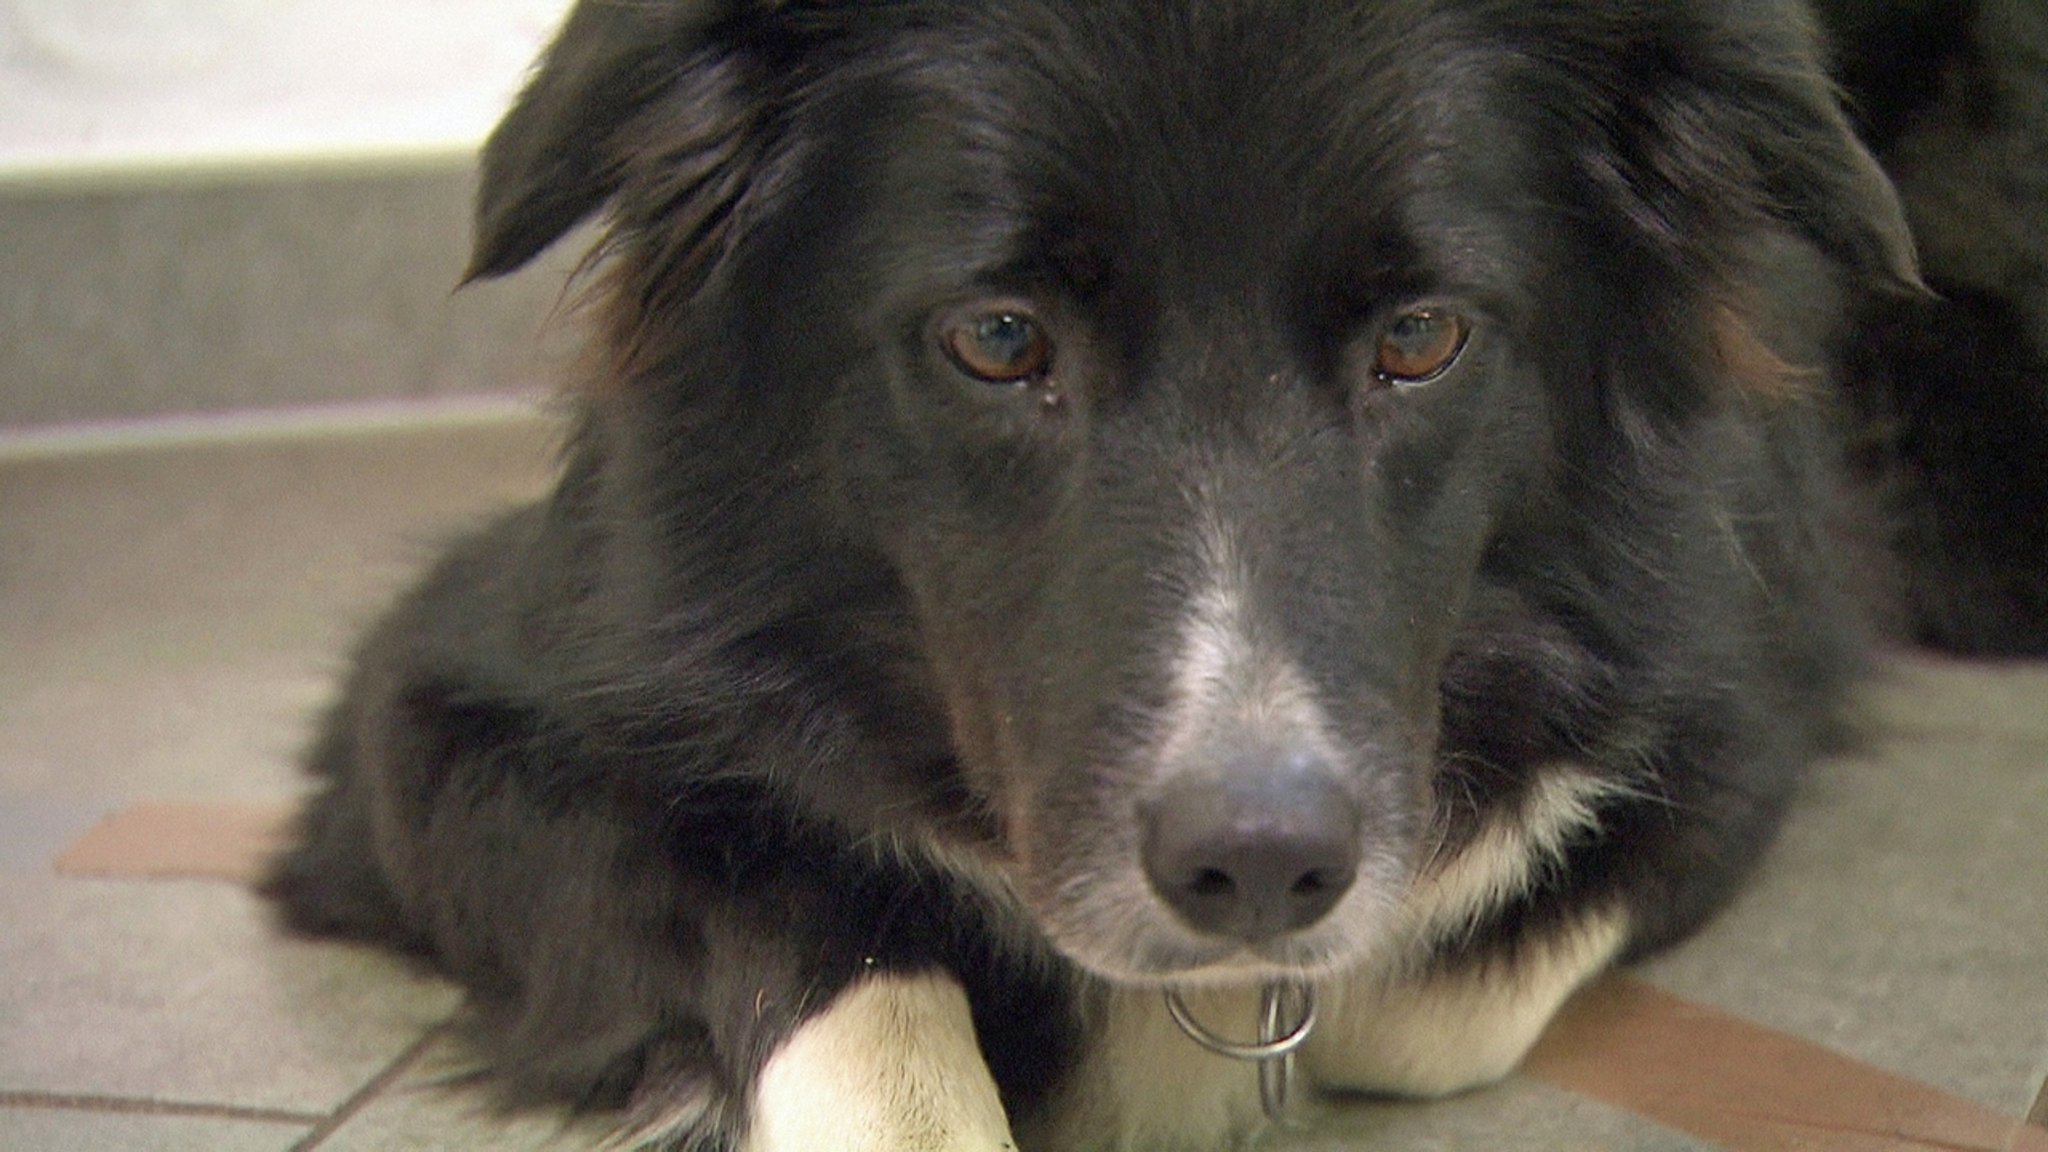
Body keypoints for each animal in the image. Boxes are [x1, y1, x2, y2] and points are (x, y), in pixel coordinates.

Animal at [264, 0, 2039, 1139]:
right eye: (997, 339)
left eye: (1422, 336)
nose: (1257, 869)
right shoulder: (451, 720)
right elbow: (848, 975)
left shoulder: (1736, 692)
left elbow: (1421, 1005)